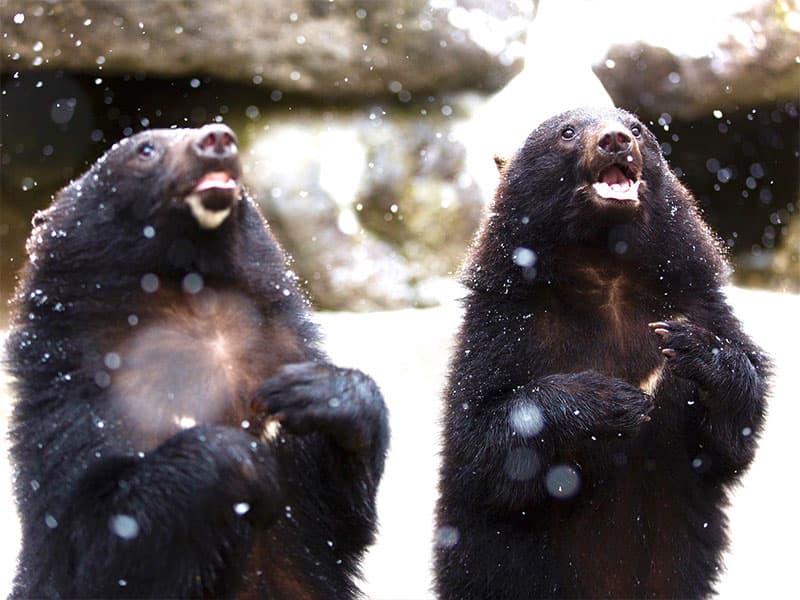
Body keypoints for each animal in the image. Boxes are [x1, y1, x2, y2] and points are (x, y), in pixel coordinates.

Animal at [7, 124, 390, 596]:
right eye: (145, 148)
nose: (217, 138)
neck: (195, 304)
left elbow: (342, 518)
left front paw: (316, 392)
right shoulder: (69, 405)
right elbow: (93, 540)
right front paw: (244, 459)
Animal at [438, 108, 768, 600]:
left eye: (636, 129)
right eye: (567, 132)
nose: (614, 140)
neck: (606, 266)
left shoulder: (700, 301)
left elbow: (732, 434)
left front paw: (691, 349)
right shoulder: (503, 325)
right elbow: (483, 437)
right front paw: (610, 401)